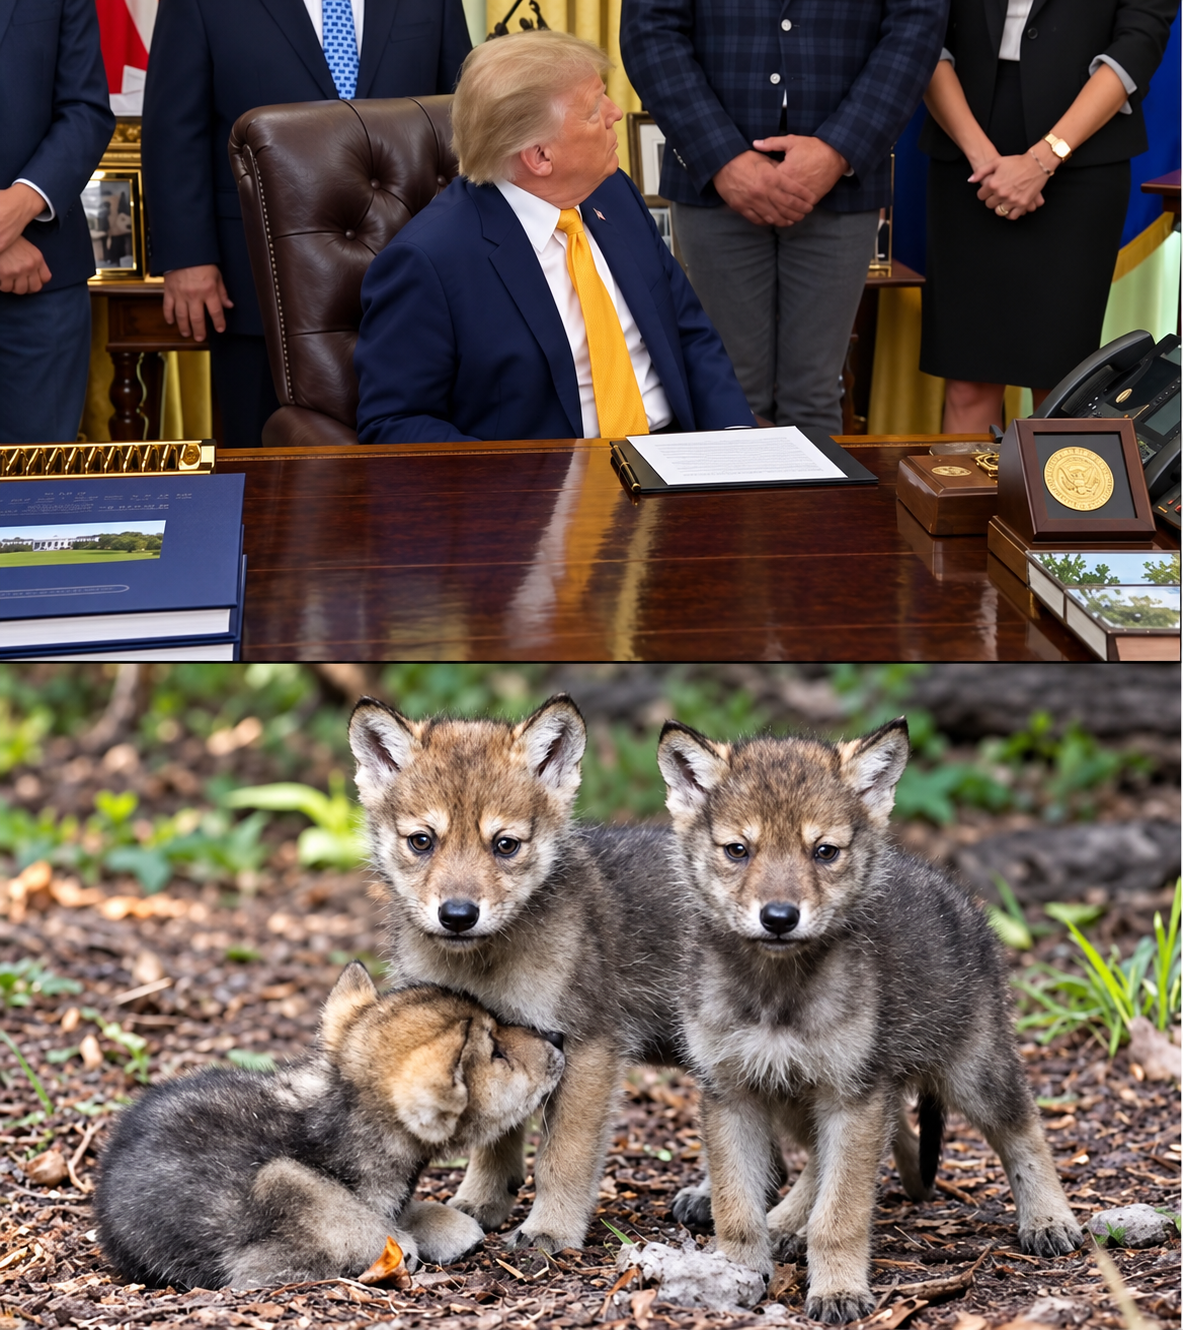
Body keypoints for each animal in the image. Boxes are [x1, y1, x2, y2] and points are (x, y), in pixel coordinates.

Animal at [348, 694, 684, 1253]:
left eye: (505, 845)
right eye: (422, 841)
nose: (458, 915)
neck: (485, 964)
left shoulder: (590, 1047)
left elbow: (562, 1157)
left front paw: (551, 1229)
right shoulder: (502, 1037)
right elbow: (496, 1136)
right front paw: (482, 1202)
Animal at [656, 716, 1082, 1324]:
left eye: (824, 851)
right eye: (738, 850)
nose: (779, 917)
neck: (777, 992)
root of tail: (955, 891)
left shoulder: (851, 1094)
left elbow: (842, 1213)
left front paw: (837, 1290)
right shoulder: (733, 1091)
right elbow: (736, 1206)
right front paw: (736, 1273)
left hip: (972, 1073)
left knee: (1023, 1128)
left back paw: (1049, 1219)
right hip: (799, 1096)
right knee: (855, 1149)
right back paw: (786, 1221)